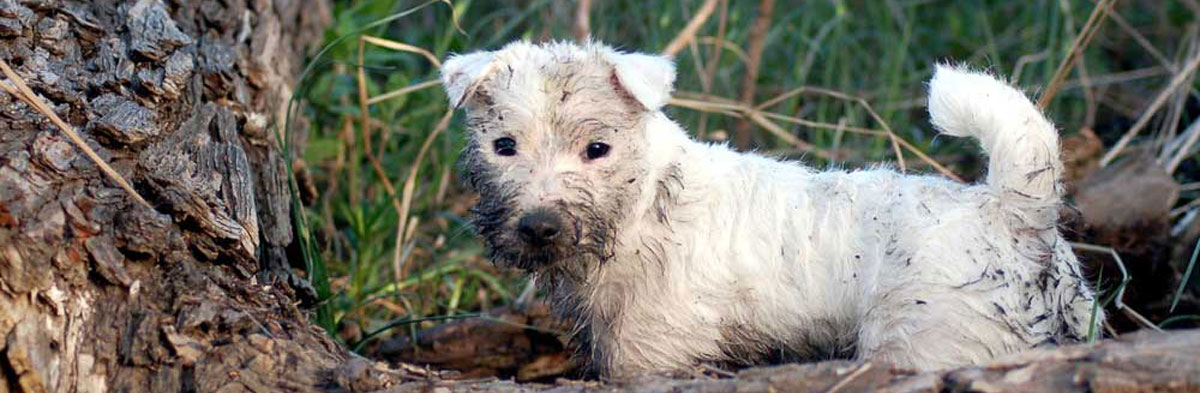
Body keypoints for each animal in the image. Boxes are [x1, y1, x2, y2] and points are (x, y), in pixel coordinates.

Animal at [439, 39, 1099, 378]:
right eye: (504, 146)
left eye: (597, 149)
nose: (539, 228)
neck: (643, 204)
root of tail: (1013, 209)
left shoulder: (652, 348)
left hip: (928, 343)